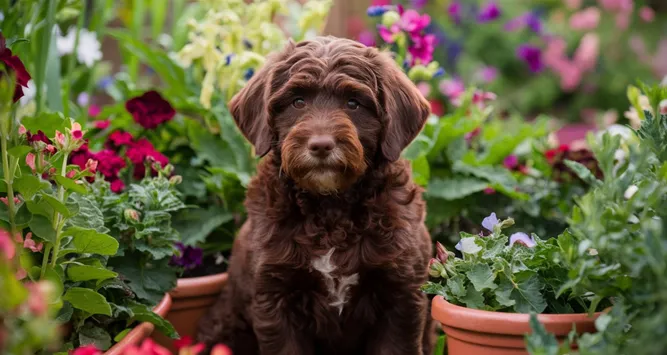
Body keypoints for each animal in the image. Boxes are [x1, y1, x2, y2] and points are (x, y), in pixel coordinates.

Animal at [196, 36, 436, 355]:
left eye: (353, 103)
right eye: (298, 101)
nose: (321, 145)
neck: (330, 210)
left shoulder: (401, 294)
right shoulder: (274, 295)